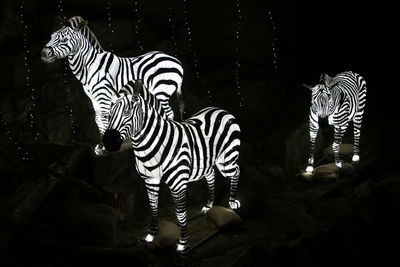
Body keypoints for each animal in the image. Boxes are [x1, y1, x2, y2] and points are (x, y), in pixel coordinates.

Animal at [40, 15, 184, 156]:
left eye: (64, 39)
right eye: (52, 36)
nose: (43, 54)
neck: (90, 66)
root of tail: (176, 60)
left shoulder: (103, 93)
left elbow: (104, 118)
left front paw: (105, 146)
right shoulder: (93, 97)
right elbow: (98, 120)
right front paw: (100, 147)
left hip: (162, 90)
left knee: (168, 112)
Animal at [102, 80, 241, 252]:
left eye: (127, 113)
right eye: (109, 114)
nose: (108, 142)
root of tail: (221, 110)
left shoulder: (178, 183)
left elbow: (180, 213)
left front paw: (182, 243)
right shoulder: (150, 180)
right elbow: (153, 207)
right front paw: (151, 235)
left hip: (226, 159)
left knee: (236, 171)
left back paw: (232, 203)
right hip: (206, 161)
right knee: (211, 175)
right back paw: (209, 205)